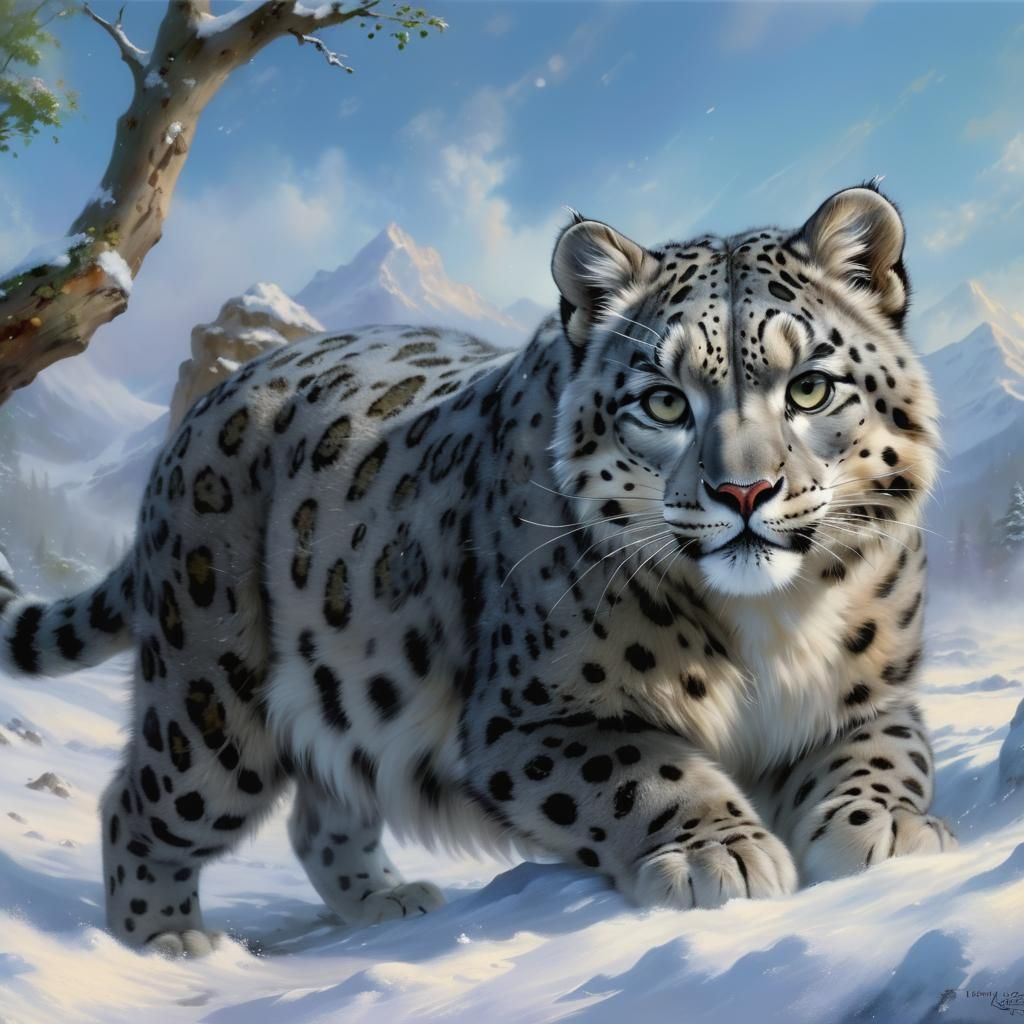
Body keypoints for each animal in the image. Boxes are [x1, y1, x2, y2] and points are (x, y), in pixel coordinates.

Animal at [0, 184, 955, 957]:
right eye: (663, 402)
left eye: (809, 387)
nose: (745, 490)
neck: (772, 629)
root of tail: (206, 409)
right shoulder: (529, 718)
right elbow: (644, 771)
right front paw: (717, 854)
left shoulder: (876, 689)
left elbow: (887, 751)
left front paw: (884, 829)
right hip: (210, 701)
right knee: (143, 803)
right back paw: (164, 941)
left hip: (343, 692)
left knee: (322, 807)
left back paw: (385, 901)